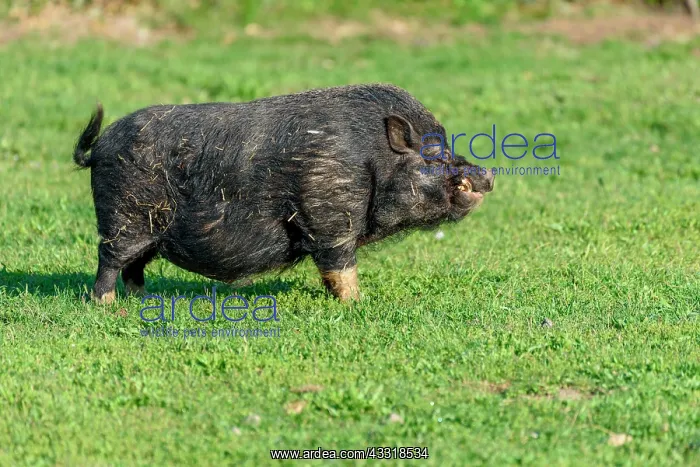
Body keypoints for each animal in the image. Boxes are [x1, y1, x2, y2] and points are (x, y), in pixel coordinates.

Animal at [73, 84, 494, 304]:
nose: (487, 173)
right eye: (434, 155)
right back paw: (105, 304)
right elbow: (340, 266)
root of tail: (99, 149)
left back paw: (141, 299)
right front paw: (357, 303)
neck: (372, 158)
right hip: (125, 216)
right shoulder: (330, 216)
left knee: (134, 265)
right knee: (109, 258)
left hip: (151, 232)